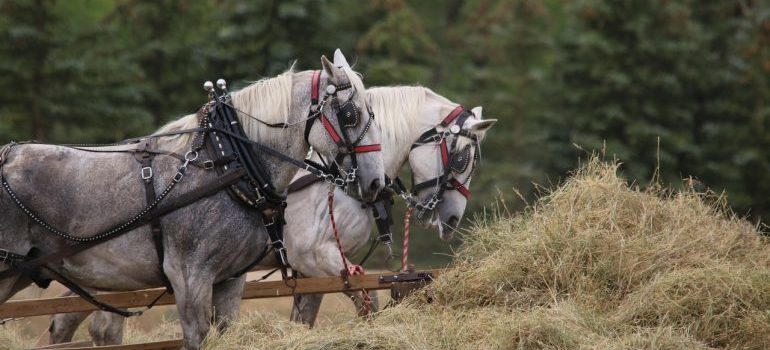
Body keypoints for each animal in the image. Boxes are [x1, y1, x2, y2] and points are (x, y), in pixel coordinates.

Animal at [0, 50, 384, 348]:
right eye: (351, 114)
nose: (376, 181)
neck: (228, 163)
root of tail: (6, 156)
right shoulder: (189, 277)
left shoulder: (229, 282)